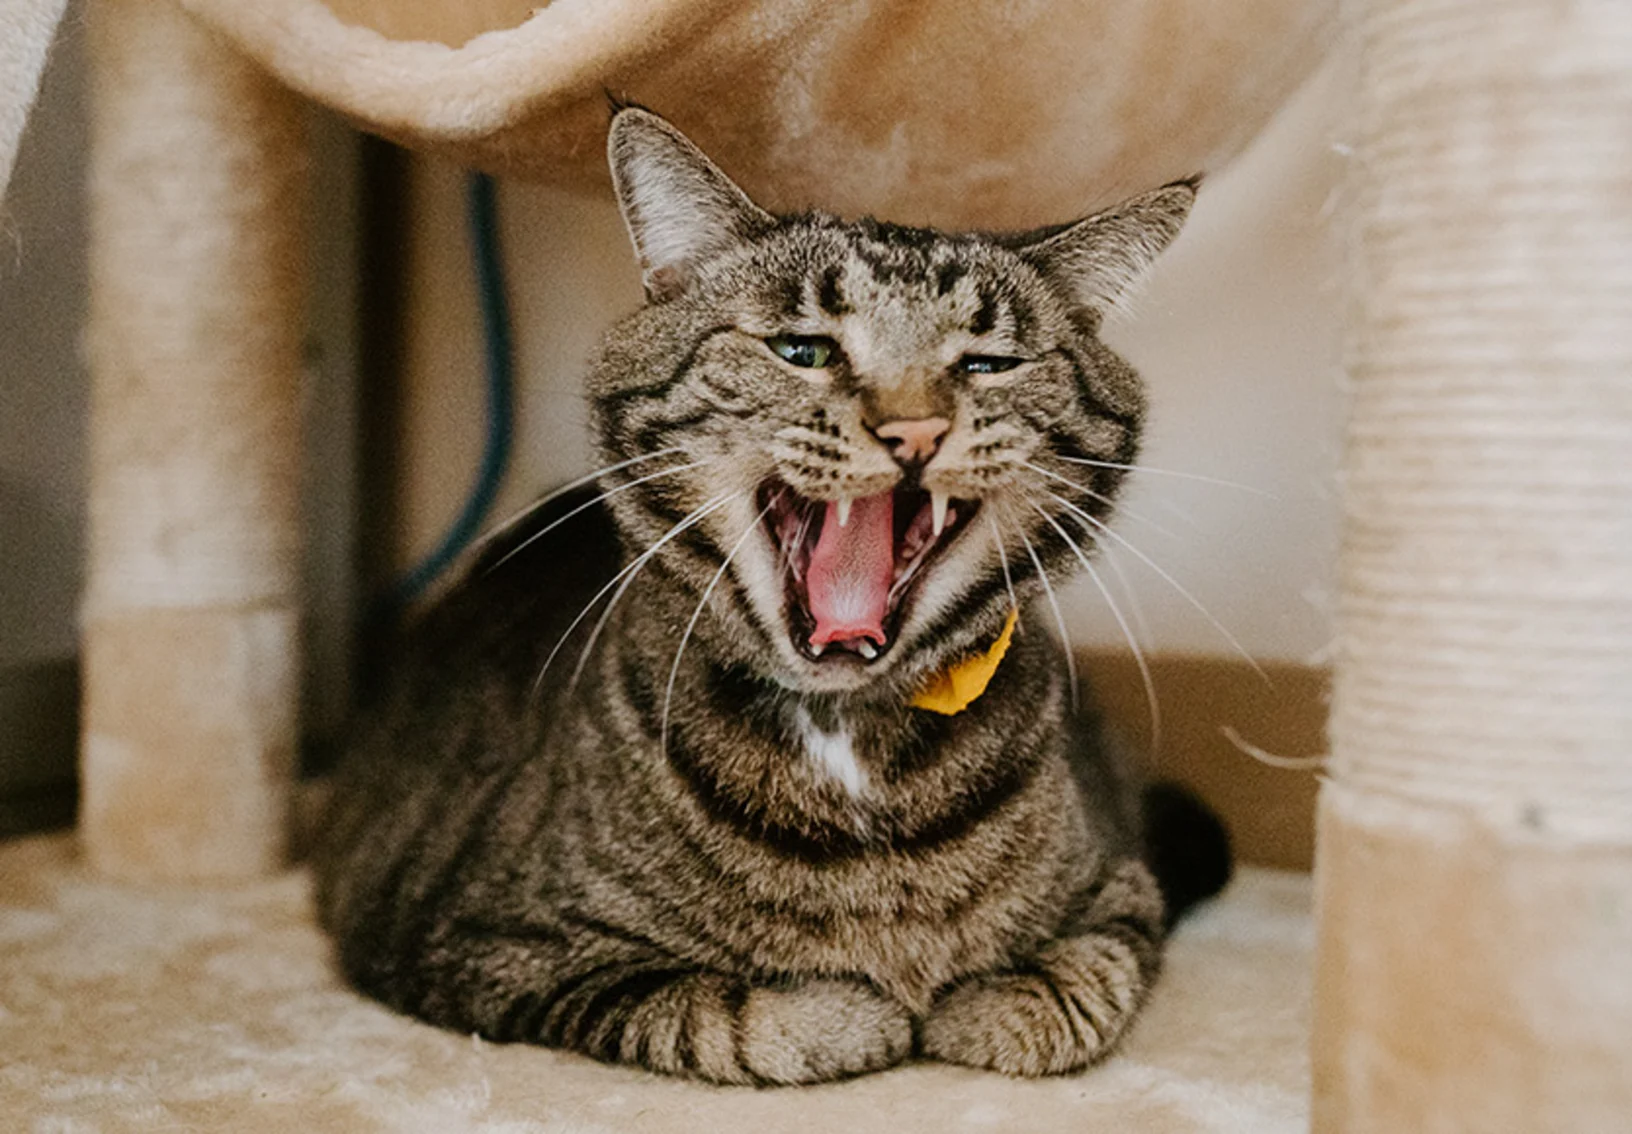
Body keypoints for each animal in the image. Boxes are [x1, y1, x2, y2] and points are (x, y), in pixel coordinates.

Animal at [314, 108, 1227, 1089]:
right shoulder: (477, 937)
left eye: (988, 364)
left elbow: (1073, 988)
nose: (914, 430)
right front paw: (861, 1012)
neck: (847, 748)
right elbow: (722, 1012)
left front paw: (974, 1005)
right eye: (803, 350)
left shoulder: (1122, 884)